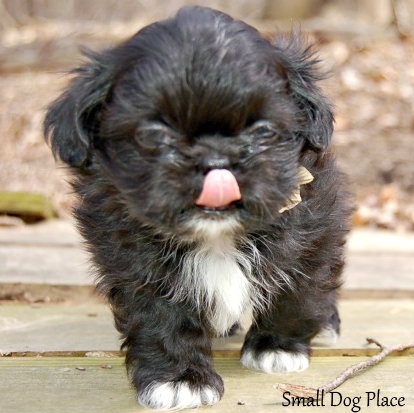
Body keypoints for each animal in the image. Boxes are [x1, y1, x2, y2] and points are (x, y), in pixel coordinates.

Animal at [44, 5, 350, 408]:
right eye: (154, 136)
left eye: (264, 132)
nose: (215, 159)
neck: (216, 235)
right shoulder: (135, 261)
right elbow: (163, 316)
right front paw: (178, 379)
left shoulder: (314, 231)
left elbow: (298, 291)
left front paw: (277, 346)